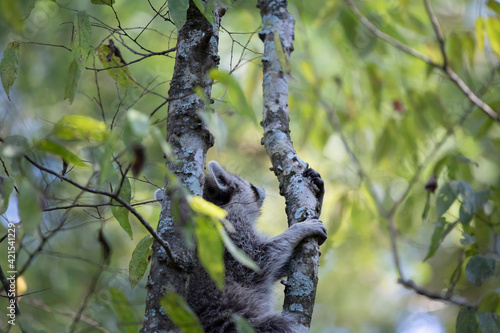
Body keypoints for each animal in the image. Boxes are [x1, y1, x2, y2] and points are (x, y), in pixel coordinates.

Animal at [186, 160, 326, 330]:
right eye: (251, 186)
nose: (261, 188)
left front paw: (319, 197)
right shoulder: (229, 235)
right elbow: (257, 260)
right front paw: (299, 229)